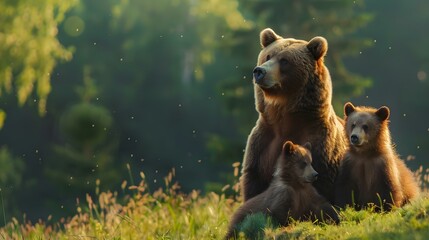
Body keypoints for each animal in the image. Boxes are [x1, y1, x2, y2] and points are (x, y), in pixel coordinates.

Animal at [239, 27, 346, 202]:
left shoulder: (320, 146)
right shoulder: (262, 145)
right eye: (268, 56)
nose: (259, 71)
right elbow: (254, 183)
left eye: (284, 61)